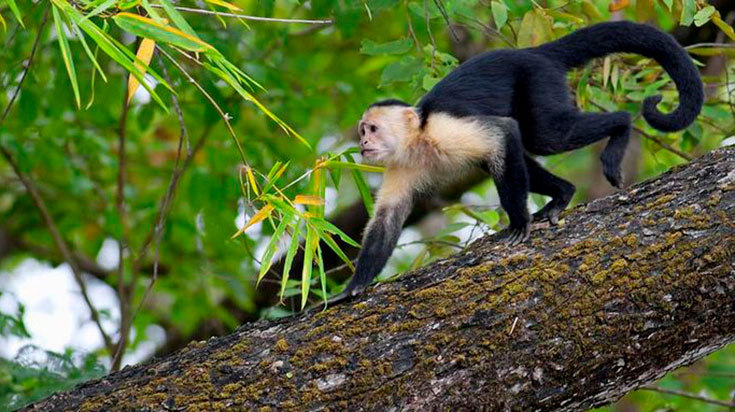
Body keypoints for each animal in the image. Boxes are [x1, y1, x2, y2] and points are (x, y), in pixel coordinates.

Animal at [339, 21, 703, 298]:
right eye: (362, 131)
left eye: (372, 129)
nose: (364, 143)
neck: (417, 141)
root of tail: (532, 52)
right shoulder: (399, 163)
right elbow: (388, 218)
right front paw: (354, 287)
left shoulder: (443, 130)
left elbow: (503, 133)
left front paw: (518, 222)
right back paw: (563, 193)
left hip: (536, 80)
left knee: (546, 136)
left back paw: (621, 127)